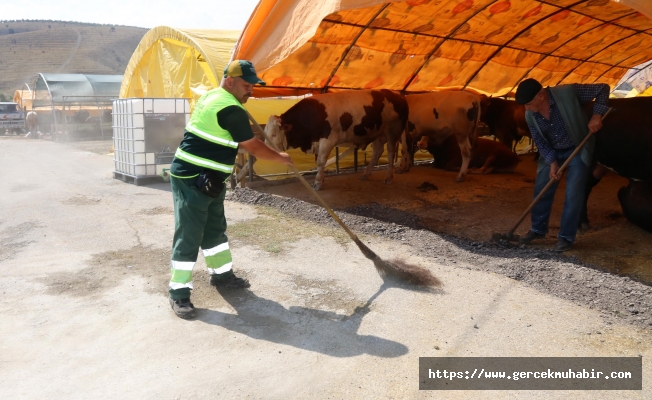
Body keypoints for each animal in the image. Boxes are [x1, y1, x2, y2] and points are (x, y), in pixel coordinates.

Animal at [264, 90, 408, 190]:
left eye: (274, 134)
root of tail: (399, 96)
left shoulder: (327, 141)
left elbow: (321, 161)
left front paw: (317, 182)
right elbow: (319, 162)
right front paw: (321, 179)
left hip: (392, 131)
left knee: (390, 153)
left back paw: (388, 177)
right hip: (377, 133)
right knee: (377, 152)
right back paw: (366, 174)